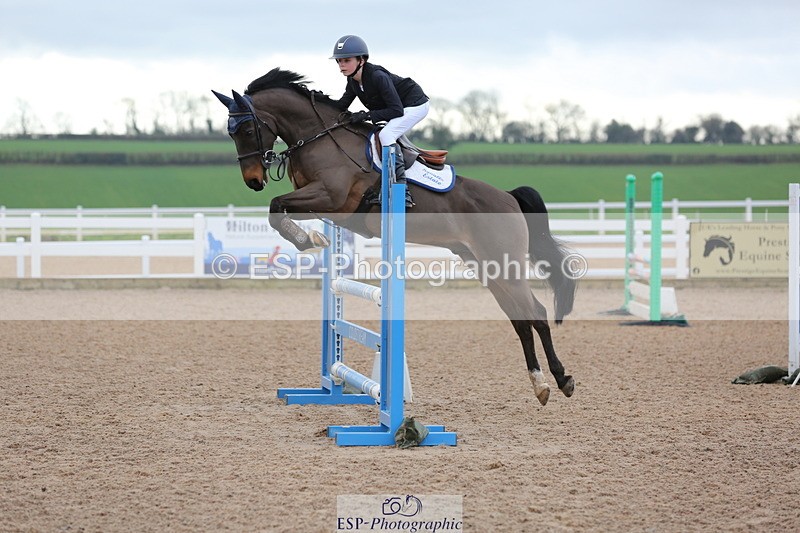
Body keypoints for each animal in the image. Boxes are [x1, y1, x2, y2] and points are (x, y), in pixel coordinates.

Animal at [212, 68, 578, 405]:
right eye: (231, 133)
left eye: (247, 129)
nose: (253, 181)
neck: (318, 137)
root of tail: (508, 197)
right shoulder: (325, 207)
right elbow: (278, 210)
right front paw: (315, 240)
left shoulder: (331, 197)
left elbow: (276, 205)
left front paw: (309, 241)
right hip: (487, 267)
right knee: (519, 319)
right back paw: (540, 384)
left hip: (505, 264)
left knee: (536, 313)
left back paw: (562, 379)